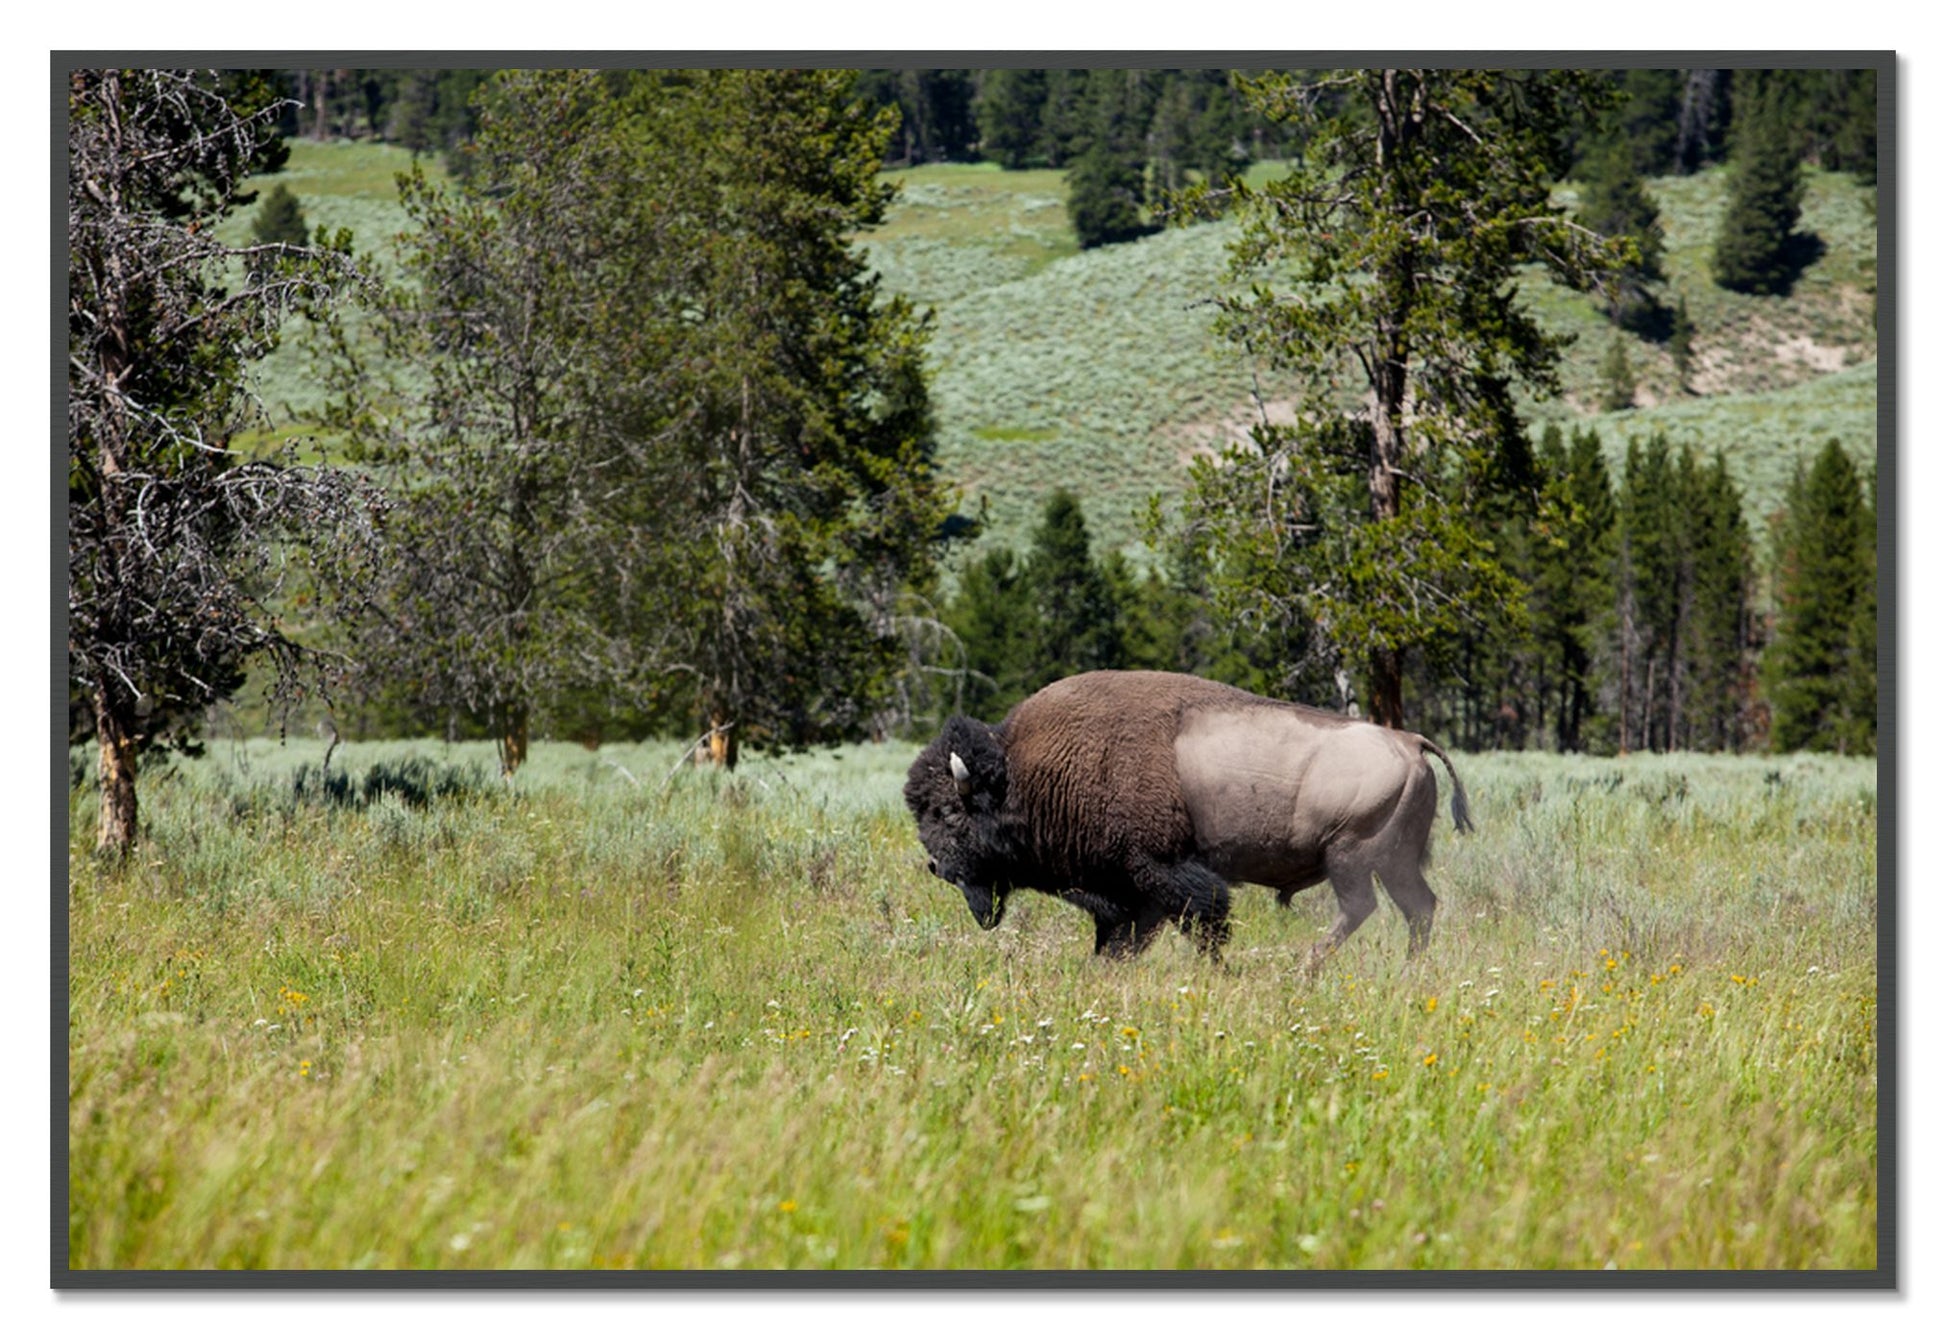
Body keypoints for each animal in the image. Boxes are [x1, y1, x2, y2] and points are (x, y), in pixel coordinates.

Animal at [904, 670, 1472, 969]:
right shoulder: (1129, 892)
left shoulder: (1162, 872)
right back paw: (1408, 968)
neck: (1025, 772)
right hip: (1394, 862)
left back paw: (1305, 967)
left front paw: (1217, 970)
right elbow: (1122, 938)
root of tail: (1409, 742)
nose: (936, 866)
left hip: (1350, 856)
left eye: (949, 812)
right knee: (1418, 907)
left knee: (1361, 907)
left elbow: (1204, 921)